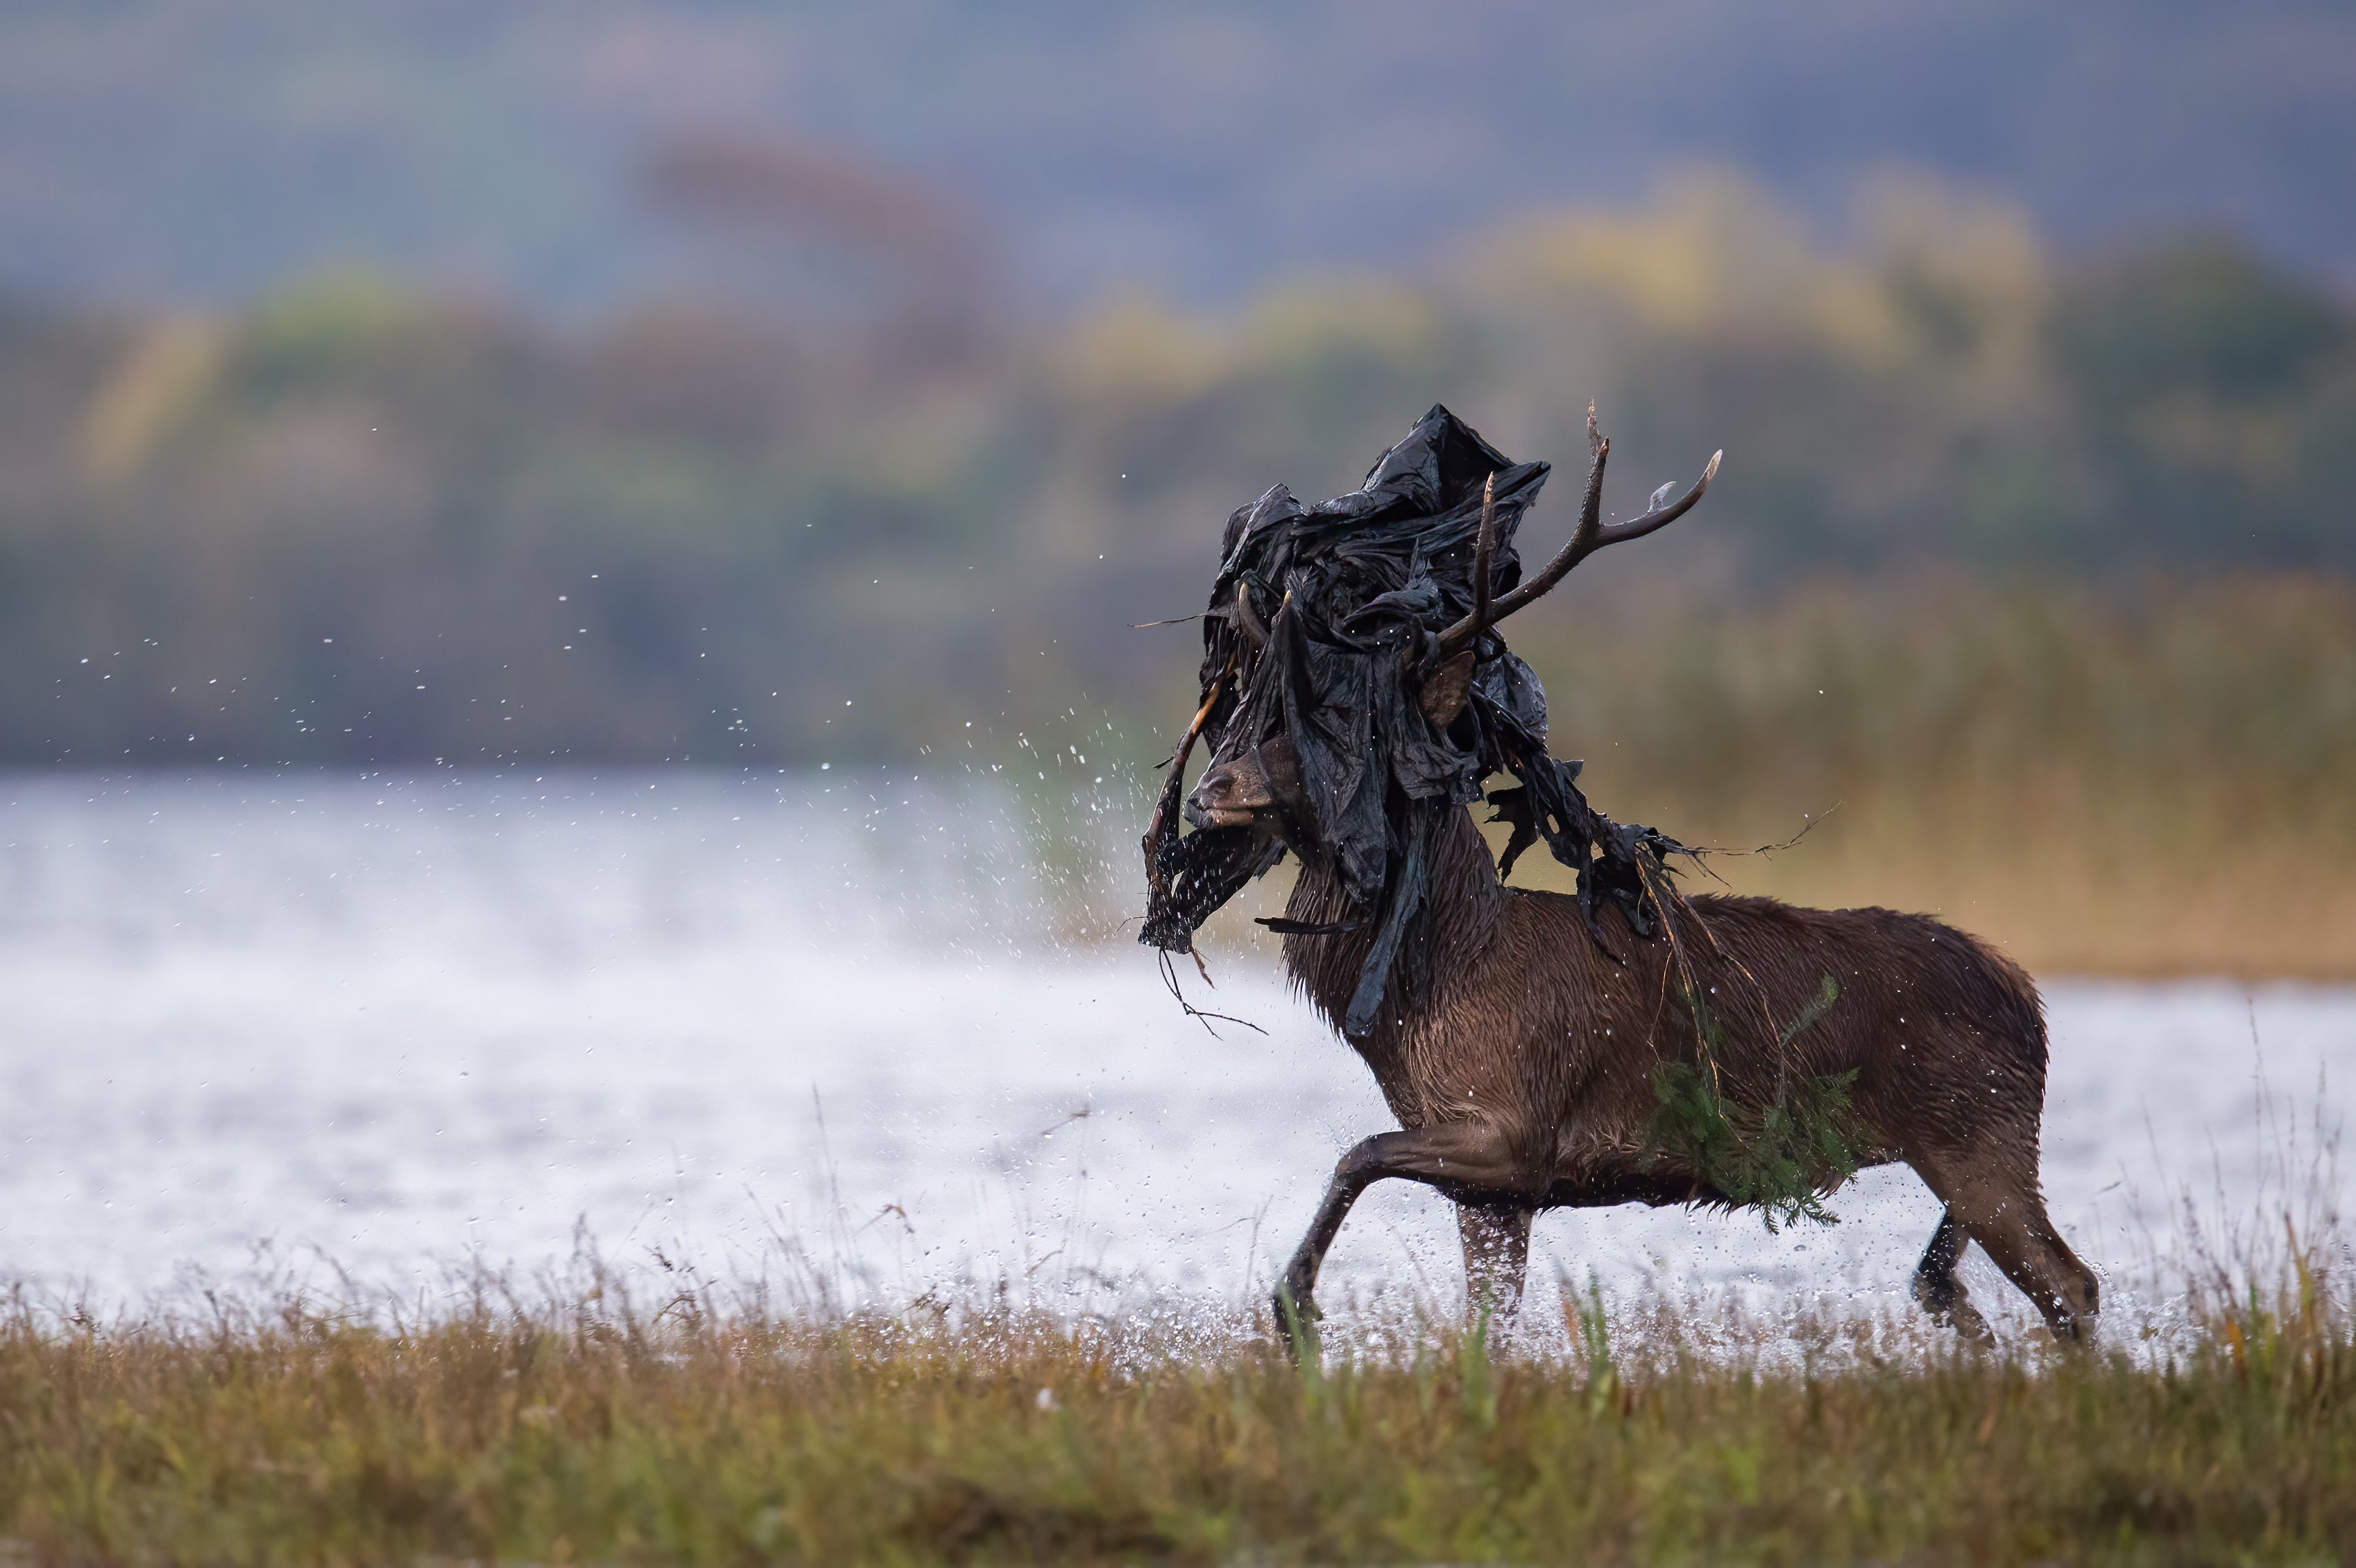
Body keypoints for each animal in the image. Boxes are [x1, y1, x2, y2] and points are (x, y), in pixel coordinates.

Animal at [1145, 405, 2101, 1348]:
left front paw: (1295, 1306)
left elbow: (1357, 1153)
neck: (1431, 993)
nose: (1212, 787)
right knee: (1950, 1281)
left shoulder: (1512, 1127)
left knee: (2072, 1284)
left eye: (1350, 728)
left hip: (1979, 1129)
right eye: (1259, 712)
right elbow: (1483, 1320)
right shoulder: (1491, 1185)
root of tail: (2031, 998)